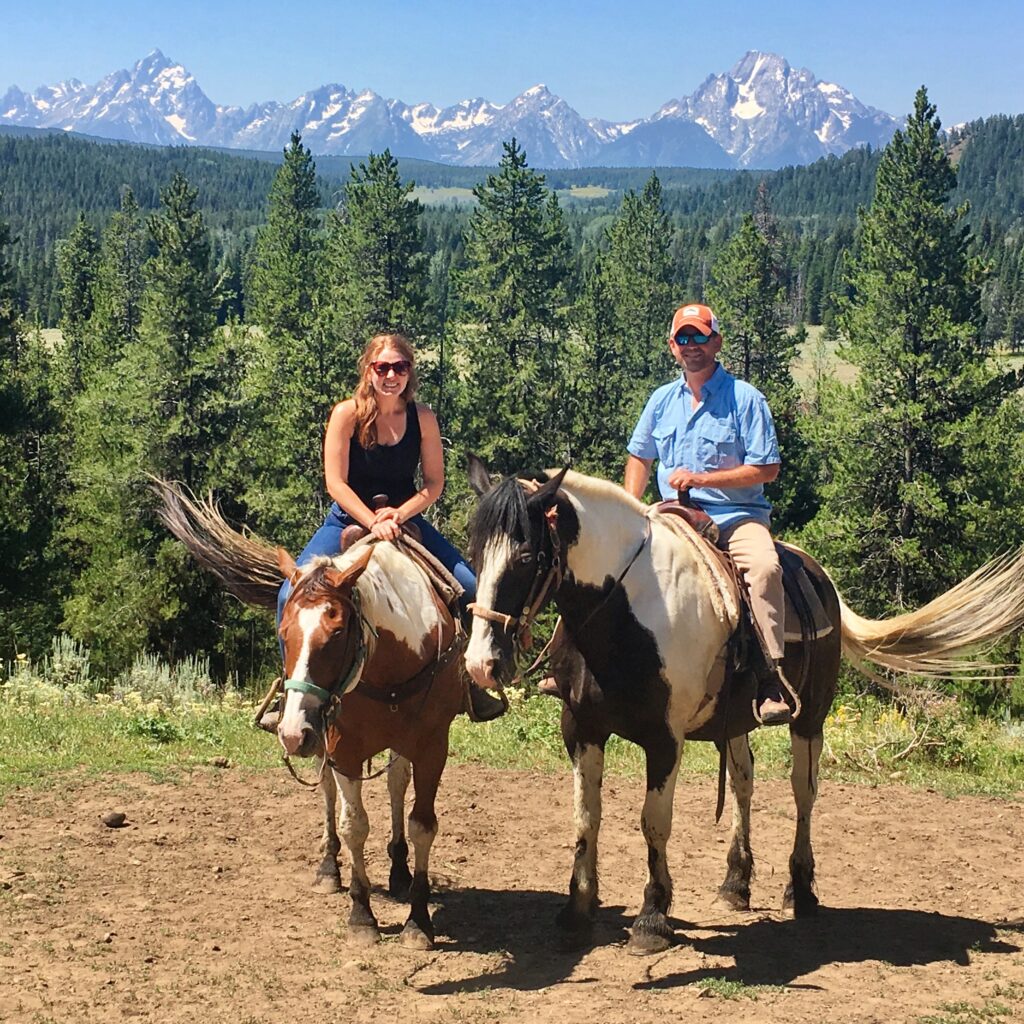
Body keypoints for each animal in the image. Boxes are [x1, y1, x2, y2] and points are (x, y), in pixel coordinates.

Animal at [152, 481, 464, 950]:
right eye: (284, 633)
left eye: (336, 633)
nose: (292, 733)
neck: (389, 665)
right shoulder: (343, 748)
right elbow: (353, 824)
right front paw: (361, 915)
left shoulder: (430, 746)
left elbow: (421, 824)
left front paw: (418, 920)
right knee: (330, 794)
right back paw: (329, 868)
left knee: (395, 784)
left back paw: (398, 871)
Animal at [466, 460, 1024, 954]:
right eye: (473, 553)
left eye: (526, 557)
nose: (481, 664)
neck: (629, 612)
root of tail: (820, 578)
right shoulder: (581, 728)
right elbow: (586, 818)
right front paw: (577, 911)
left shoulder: (664, 740)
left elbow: (654, 822)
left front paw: (652, 917)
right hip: (734, 723)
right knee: (742, 781)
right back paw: (736, 881)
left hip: (810, 718)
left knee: (804, 793)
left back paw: (801, 889)